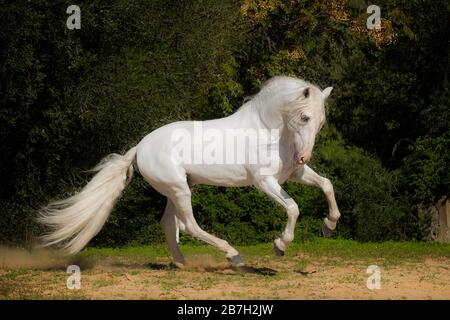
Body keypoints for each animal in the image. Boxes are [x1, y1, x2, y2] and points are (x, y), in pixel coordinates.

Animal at [39, 75, 342, 268]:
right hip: (179, 189)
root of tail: (140, 146)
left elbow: (326, 184)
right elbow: (293, 208)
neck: (268, 132)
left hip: (178, 189)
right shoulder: (264, 181)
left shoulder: (293, 175)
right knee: (189, 225)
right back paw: (233, 256)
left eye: (321, 122)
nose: (303, 157)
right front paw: (280, 245)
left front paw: (328, 226)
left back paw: (181, 263)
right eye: (304, 117)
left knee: (169, 224)